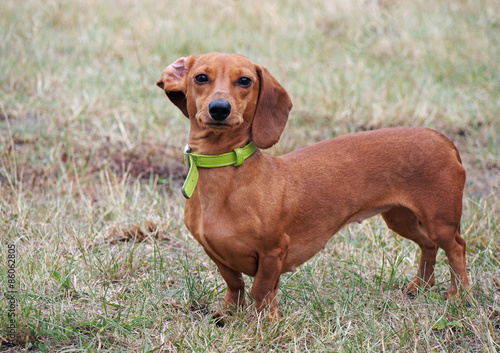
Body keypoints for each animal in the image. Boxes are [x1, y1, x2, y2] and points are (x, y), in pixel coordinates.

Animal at [155, 52, 468, 320]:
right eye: (200, 77)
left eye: (245, 80)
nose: (219, 109)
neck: (225, 175)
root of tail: (444, 140)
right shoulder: (215, 252)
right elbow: (235, 284)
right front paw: (228, 313)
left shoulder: (274, 251)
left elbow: (261, 290)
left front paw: (266, 322)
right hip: (400, 218)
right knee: (428, 245)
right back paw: (420, 286)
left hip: (439, 220)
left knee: (456, 248)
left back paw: (460, 295)